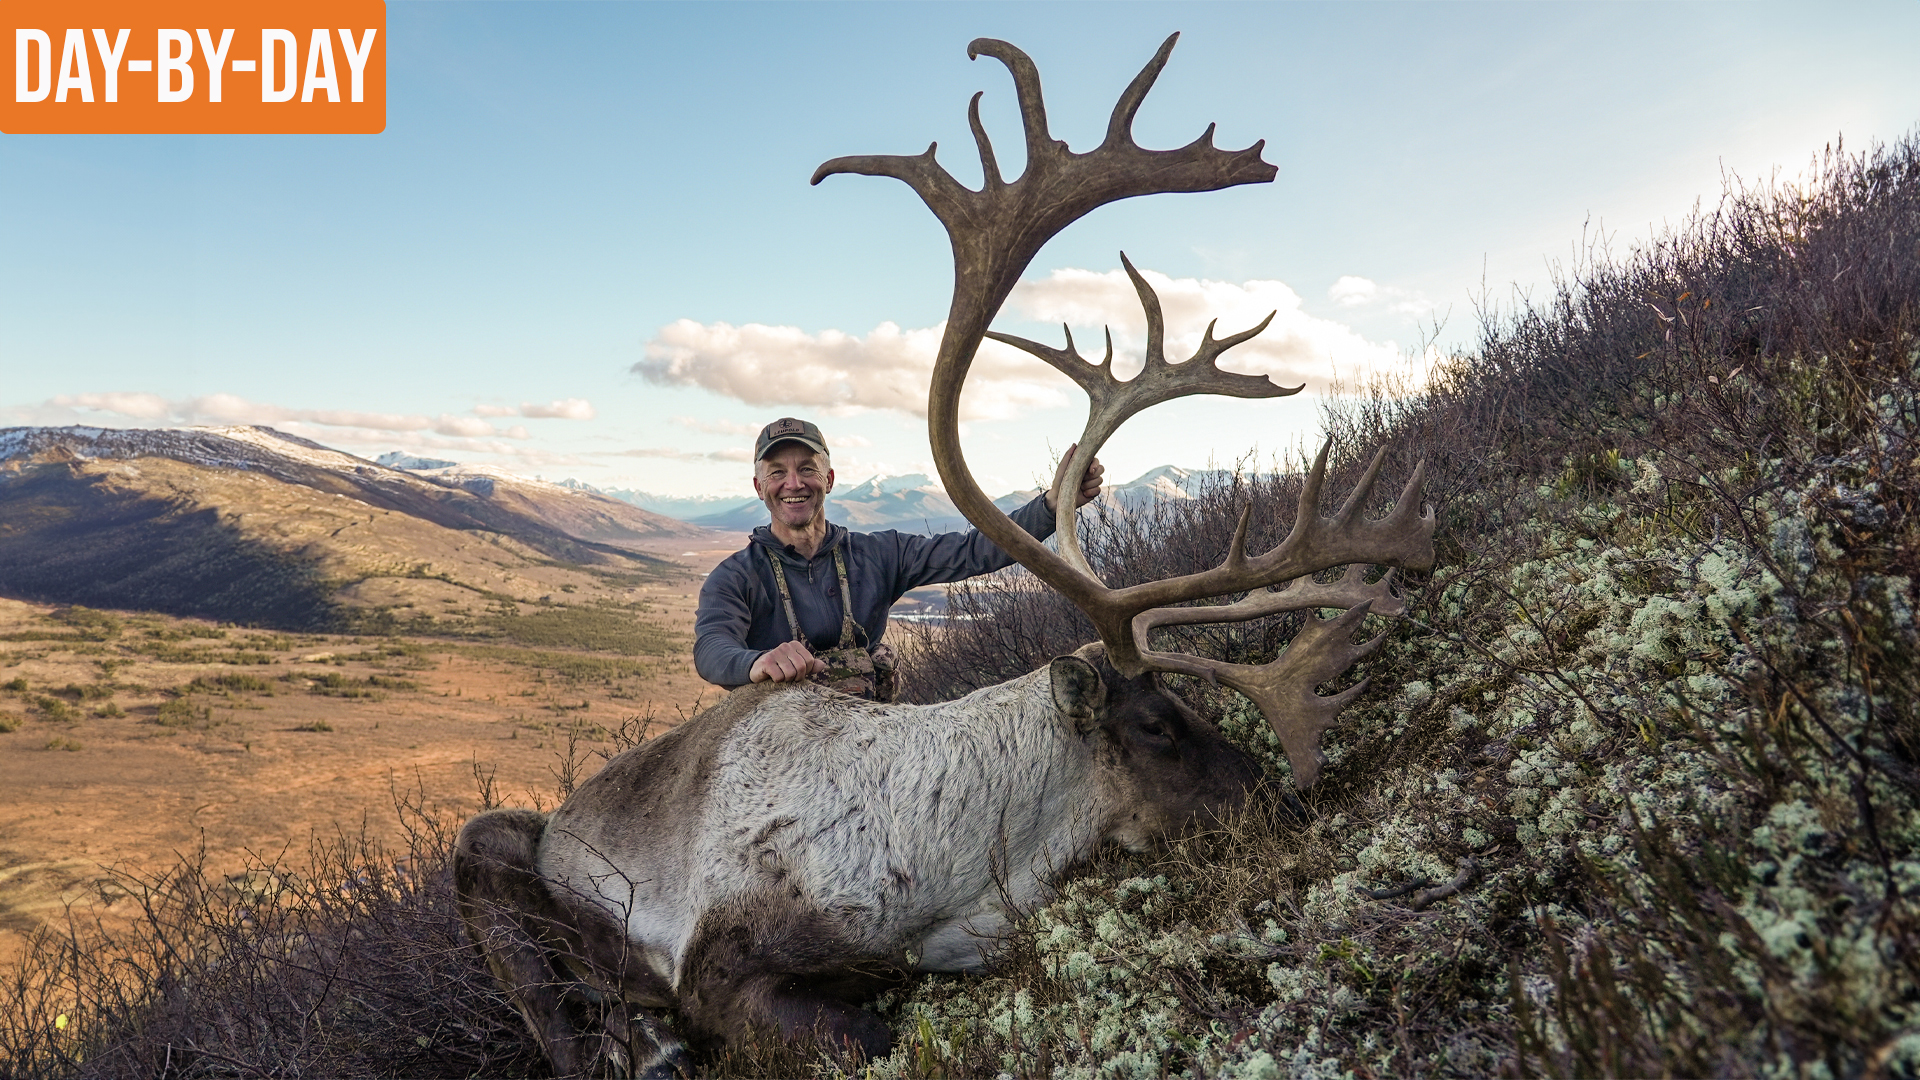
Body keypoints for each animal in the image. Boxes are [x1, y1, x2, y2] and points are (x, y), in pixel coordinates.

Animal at [453, 33, 1434, 1078]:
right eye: (1158, 724)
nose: (1285, 805)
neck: (957, 850)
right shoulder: (722, 968)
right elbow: (854, 1029)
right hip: (489, 845)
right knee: (548, 988)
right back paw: (636, 1041)